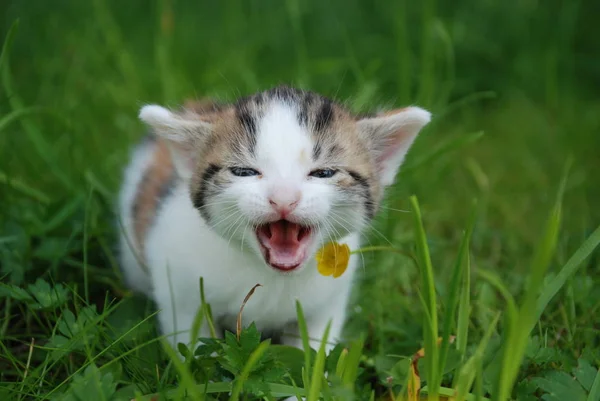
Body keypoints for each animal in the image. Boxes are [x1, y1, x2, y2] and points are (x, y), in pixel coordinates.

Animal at [117, 85, 428, 350]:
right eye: (244, 172)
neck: (269, 276)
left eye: (324, 173)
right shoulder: (179, 288)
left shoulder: (327, 301)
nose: (283, 198)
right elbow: (191, 345)